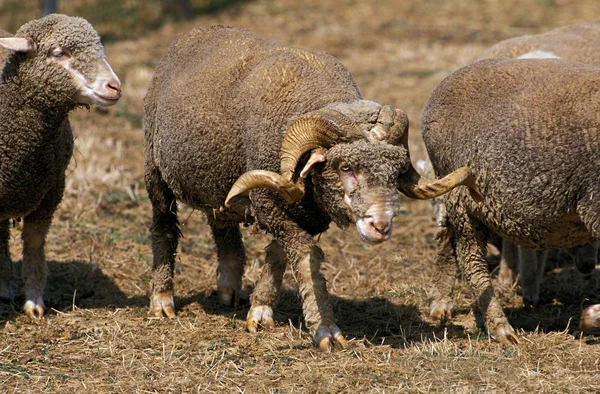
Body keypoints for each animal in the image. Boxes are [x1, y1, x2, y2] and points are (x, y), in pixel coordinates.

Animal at [142, 24, 478, 350]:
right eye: (344, 167)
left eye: (396, 171)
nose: (381, 225)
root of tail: (193, 33)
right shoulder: (268, 203)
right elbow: (306, 258)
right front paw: (325, 329)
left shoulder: (302, 213)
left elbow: (278, 255)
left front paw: (260, 310)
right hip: (155, 169)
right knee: (164, 226)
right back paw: (162, 300)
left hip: (217, 180)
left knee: (221, 222)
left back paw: (228, 285)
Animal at [422, 57, 600, 344]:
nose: (586, 267)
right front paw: (590, 317)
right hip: (463, 197)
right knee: (471, 260)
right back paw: (500, 328)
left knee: (449, 242)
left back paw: (440, 303)